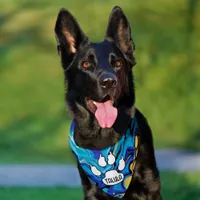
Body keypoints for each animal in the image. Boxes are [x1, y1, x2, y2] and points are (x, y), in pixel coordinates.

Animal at [54, 6, 162, 200]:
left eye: (117, 63)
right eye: (86, 64)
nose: (109, 82)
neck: (103, 137)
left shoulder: (150, 187)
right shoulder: (91, 192)